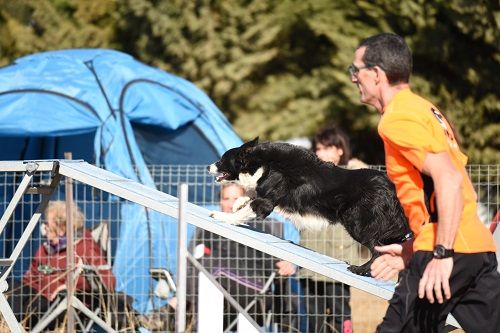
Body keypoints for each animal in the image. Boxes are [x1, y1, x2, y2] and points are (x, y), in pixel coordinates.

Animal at [206, 137, 410, 274]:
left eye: (221, 159)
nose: (207, 167)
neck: (261, 163)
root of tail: (391, 189)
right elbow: (250, 195)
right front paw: (237, 203)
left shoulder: (266, 203)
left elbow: (249, 206)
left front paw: (223, 216)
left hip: (357, 223)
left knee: (377, 250)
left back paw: (360, 269)